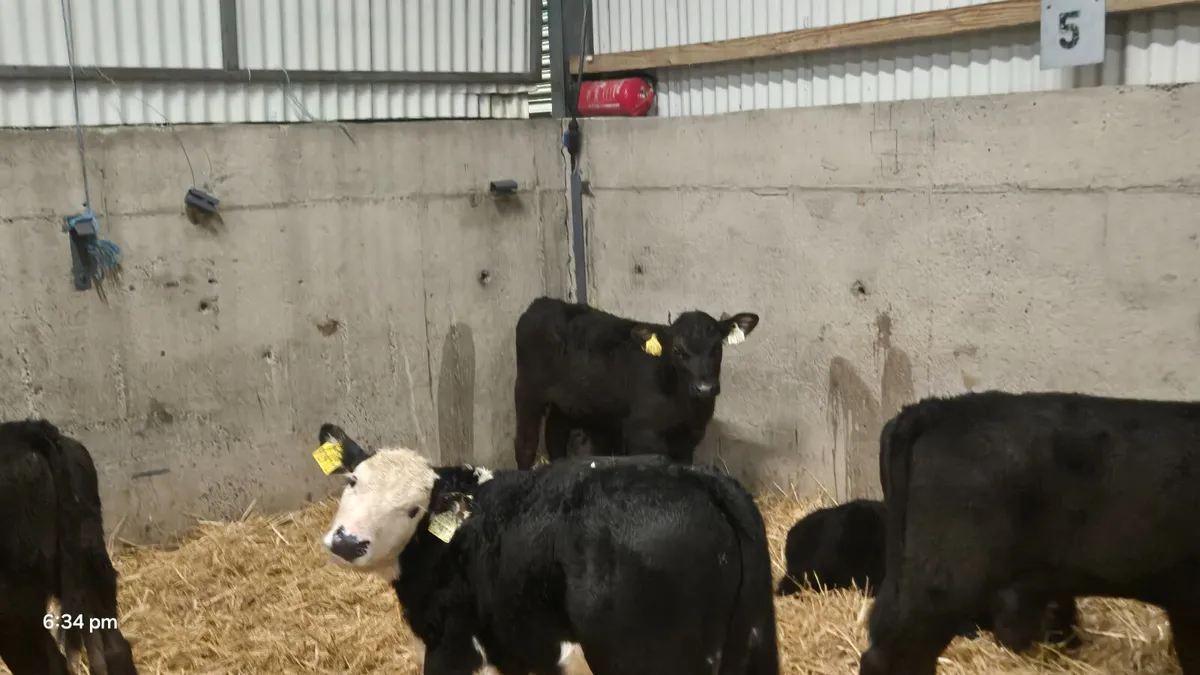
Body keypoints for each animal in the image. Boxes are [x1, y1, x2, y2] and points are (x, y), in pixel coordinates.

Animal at [512, 296, 760, 469]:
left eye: (717, 348)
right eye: (678, 351)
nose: (705, 388)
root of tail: (541, 303)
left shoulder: (689, 435)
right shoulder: (642, 432)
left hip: (567, 403)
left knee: (554, 436)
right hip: (527, 391)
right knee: (525, 445)